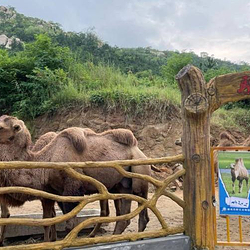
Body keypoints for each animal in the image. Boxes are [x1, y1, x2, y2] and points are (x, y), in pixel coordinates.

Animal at [0, 114, 149, 242]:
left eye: (1, 127)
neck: (47, 161)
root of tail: (139, 151)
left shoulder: (72, 188)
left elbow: (69, 225)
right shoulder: (57, 193)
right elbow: (52, 221)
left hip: (139, 175)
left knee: (141, 205)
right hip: (122, 184)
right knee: (125, 215)